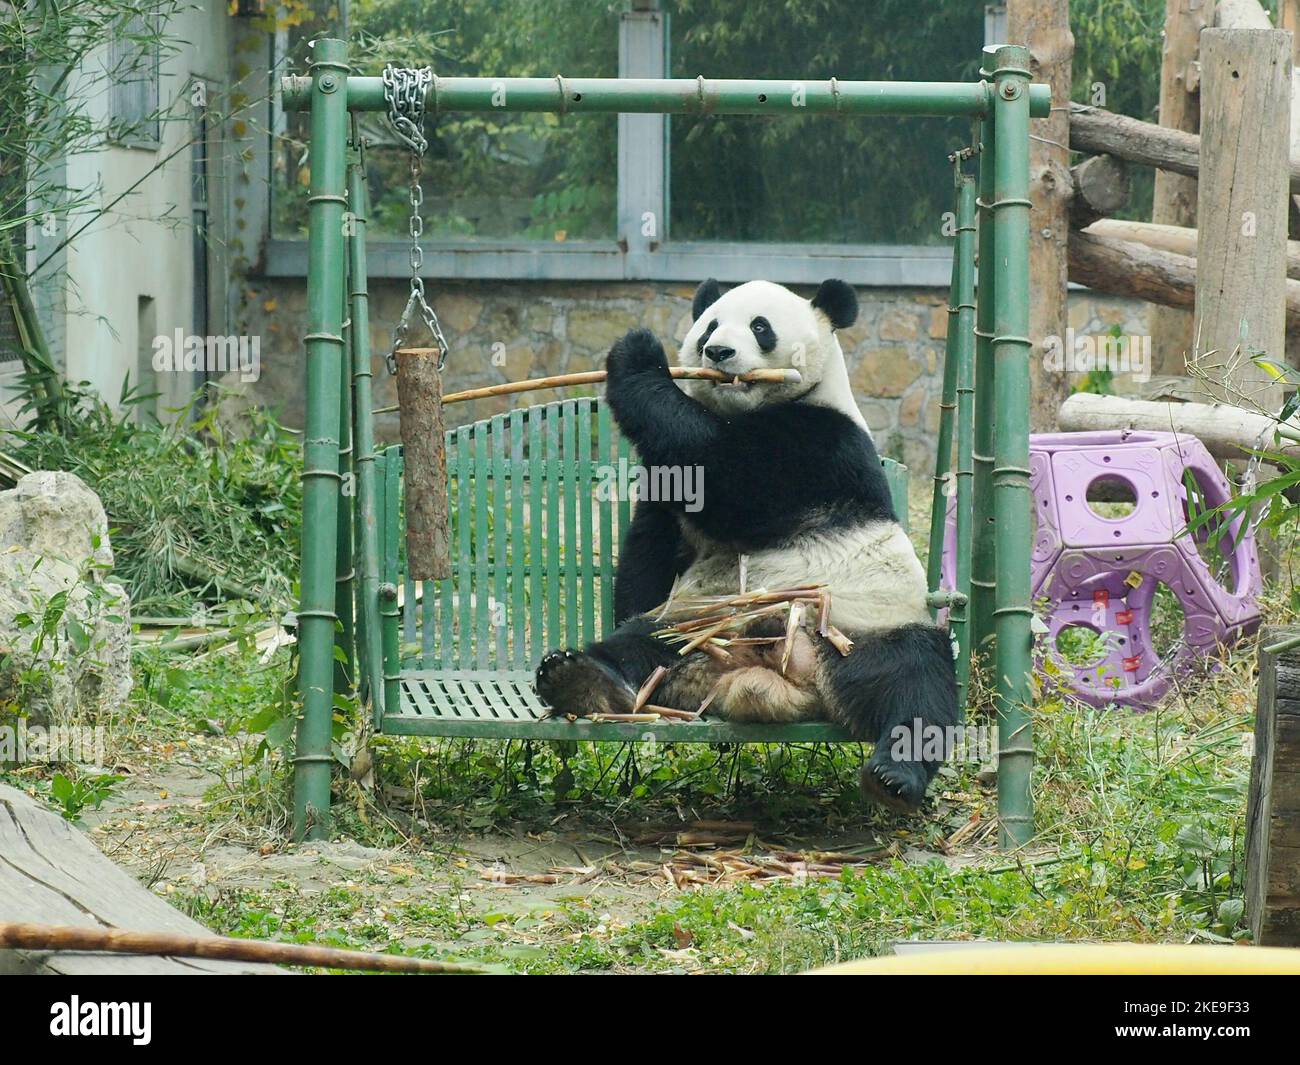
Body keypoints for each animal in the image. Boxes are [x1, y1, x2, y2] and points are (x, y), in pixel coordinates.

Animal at [535, 278, 958, 810]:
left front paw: (638, 353)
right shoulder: (666, 504)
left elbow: (730, 474)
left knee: (918, 684)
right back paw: (579, 680)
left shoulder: (824, 442)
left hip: (865, 627)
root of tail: (789, 678)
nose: (717, 352)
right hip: (702, 625)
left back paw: (895, 776)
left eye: (760, 327)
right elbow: (651, 554)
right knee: (643, 645)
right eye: (710, 326)